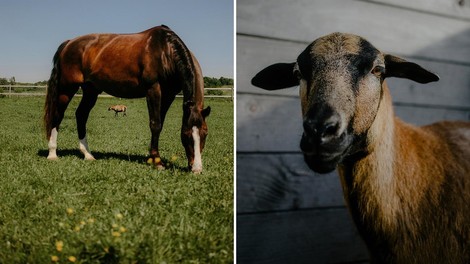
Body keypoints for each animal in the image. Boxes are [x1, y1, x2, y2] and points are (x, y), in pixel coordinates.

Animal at [44, 25, 211, 173]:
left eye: (205, 133)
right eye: (186, 134)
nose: (196, 168)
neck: (165, 51)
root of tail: (68, 43)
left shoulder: (169, 94)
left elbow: (160, 123)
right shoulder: (153, 89)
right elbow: (155, 124)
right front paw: (157, 161)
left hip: (90, 90)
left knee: (81, 115)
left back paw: (87, 154)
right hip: (67, 89)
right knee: (58, 116)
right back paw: (52, 154)